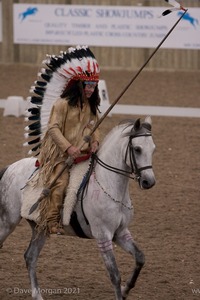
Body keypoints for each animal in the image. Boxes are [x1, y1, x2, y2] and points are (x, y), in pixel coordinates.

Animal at [0, 118, 156, 300]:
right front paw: (121, 291)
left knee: (30, 257)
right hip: (7, 222)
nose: (149, 182)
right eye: (137, 149)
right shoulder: (103, 236)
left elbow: (140, 258)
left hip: (40, 227)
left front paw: (126, 290)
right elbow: (114, 274)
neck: (109, 184)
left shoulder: (121, 232)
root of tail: (10, 168)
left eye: (153, 148)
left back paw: (38, 295)